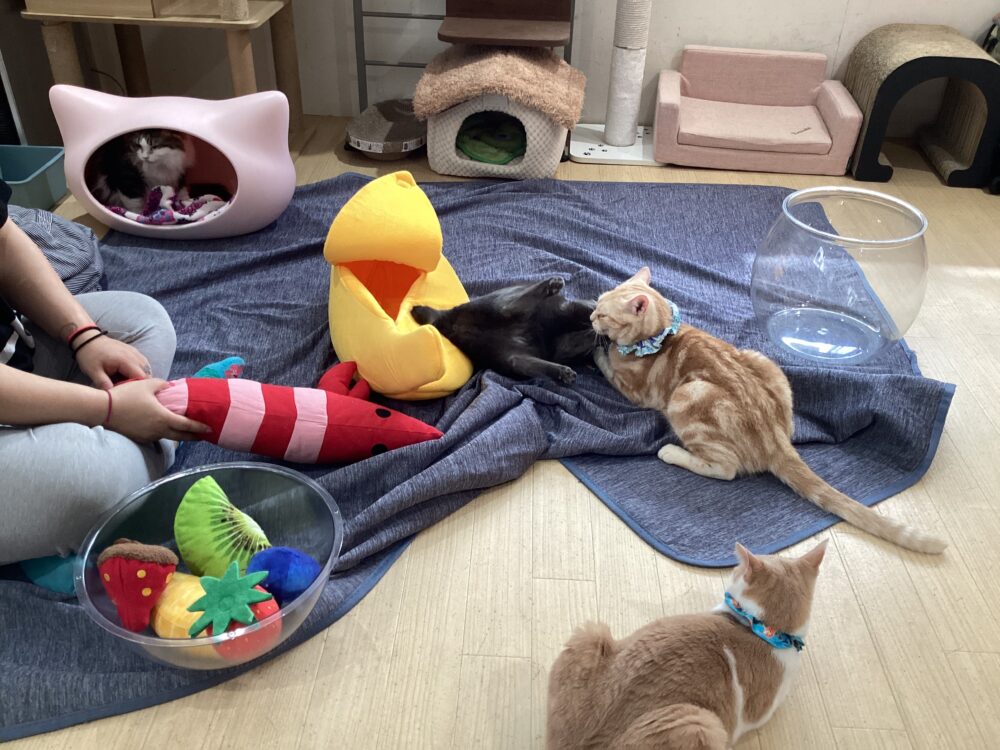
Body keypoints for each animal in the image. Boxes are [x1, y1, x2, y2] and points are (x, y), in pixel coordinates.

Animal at [411, 277, 596, 384]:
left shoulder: (568, 344)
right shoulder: (570, 313)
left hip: (509, 356)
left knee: (524, 362)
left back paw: (563, 372)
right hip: (498, 304)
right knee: (509, 306)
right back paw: (553, 284)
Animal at [590, 267, 946, 554]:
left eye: (603, 314)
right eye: (596, 305)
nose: (591, 316)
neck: (661, 335)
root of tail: (776, 441)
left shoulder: (633, 389)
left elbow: (606, 364)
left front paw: (598, 351)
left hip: (687, 396)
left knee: (726, 469)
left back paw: (672, 453)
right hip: (761, 360)